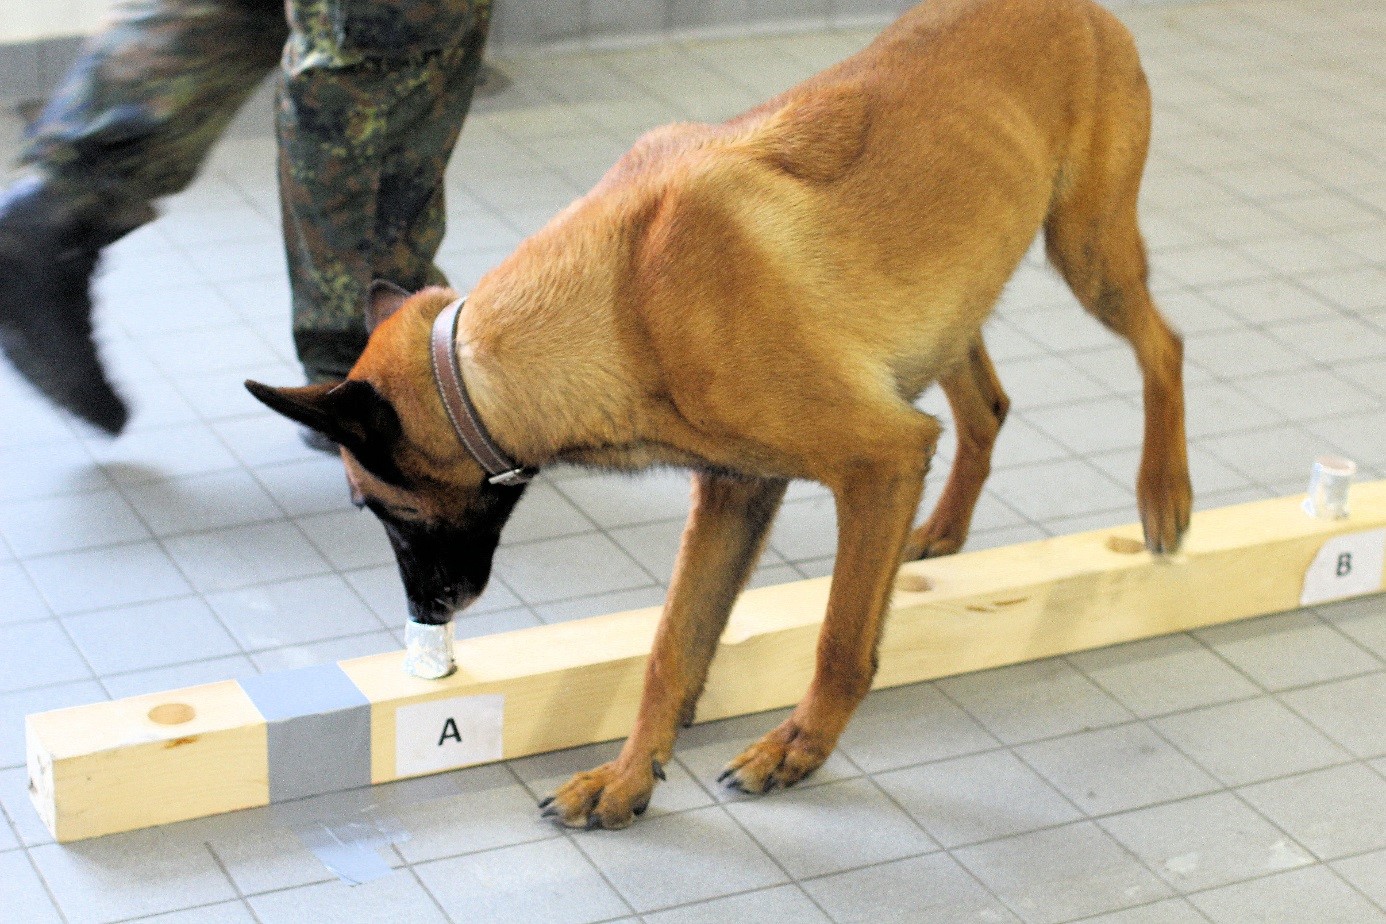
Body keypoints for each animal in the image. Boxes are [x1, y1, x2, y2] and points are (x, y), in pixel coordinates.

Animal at [246, 0, 1191, 831]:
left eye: (379, 509)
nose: (429, 616)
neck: (620, 301)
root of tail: (1078, 11)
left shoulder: (880, 462)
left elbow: (839, 639)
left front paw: (797, 747)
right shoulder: (737, 490)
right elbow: (673, 649)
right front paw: (629, 777)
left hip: (1087, 250)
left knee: (1164, 346)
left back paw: (1165, 495)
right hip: (953, 309)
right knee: (990, 408)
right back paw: (945, 529)